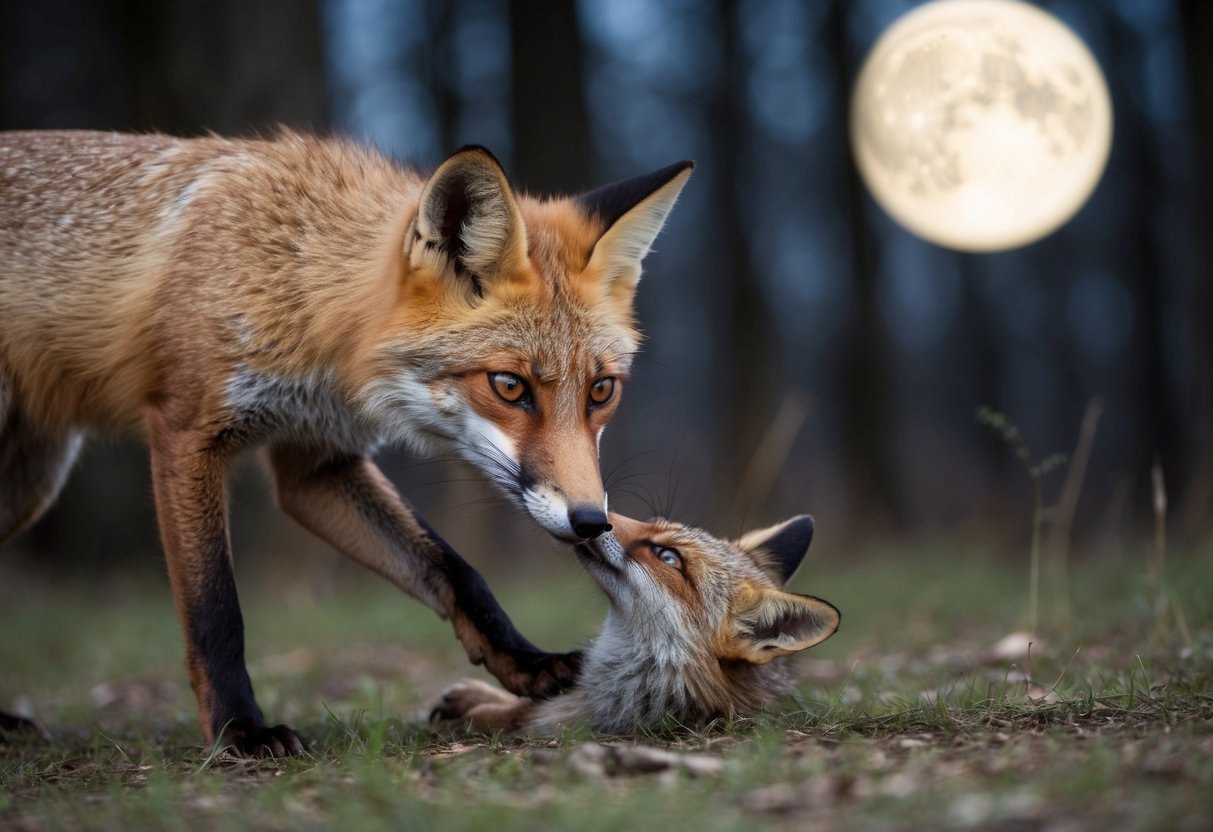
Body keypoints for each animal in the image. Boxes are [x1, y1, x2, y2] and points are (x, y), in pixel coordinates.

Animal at [0, 129, 693, 756]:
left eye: (601, 391)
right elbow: (216, 610)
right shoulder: (186, 434)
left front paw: (523, 661)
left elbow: (455, 570)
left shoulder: (316, 464)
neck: (301, 287)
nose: (591, 522)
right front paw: (240, 730)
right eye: (509, 386)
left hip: (29, 482)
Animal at [429, 512, 841, 736]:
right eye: (650, 522)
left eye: (669, 557)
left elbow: (518, 715)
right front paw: (475, 696)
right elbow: (530, 700)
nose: (590, 517)